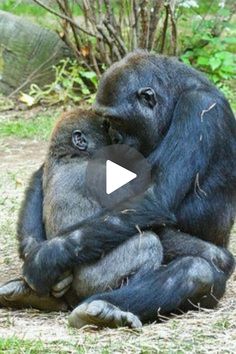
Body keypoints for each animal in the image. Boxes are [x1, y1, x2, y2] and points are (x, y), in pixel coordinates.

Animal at [2, 49, 236, 326]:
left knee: (199, 270)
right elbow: (43, 172)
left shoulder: (199, 107)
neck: (175, 95)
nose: (114, 138)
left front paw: (44, 259)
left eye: (114, 120)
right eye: (106, 122)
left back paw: (104, 307)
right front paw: (34, 249)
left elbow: (152, 196)